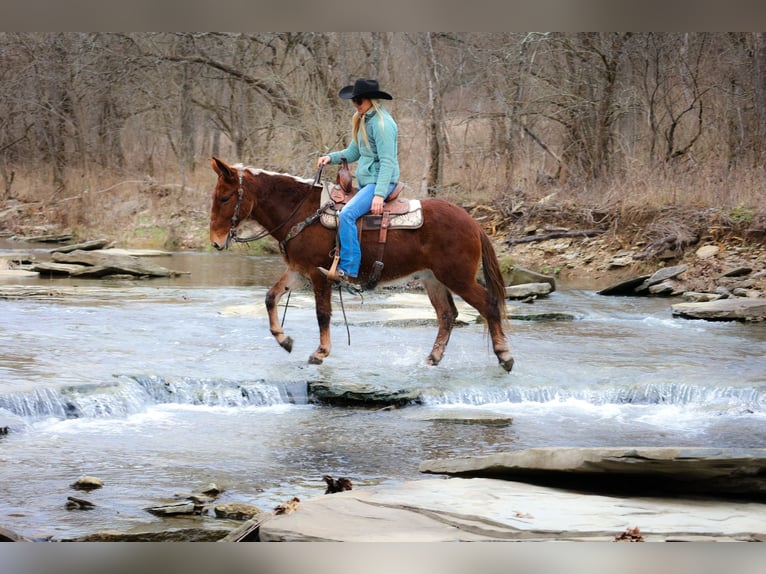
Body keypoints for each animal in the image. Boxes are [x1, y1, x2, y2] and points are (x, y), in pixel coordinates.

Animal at [208, 158, 516, 374]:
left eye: (225, 197)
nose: (216, 242)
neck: (301, 212)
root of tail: (472, 222)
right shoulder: (298, 271)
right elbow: (271, 297)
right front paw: (284, 340)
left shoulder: (318, 276)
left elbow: (322, 314)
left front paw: (320, 352)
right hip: (433, 279)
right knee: (447, 315)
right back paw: (433, 358)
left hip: (458, 278)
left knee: (488, 305)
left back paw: (504, 355)